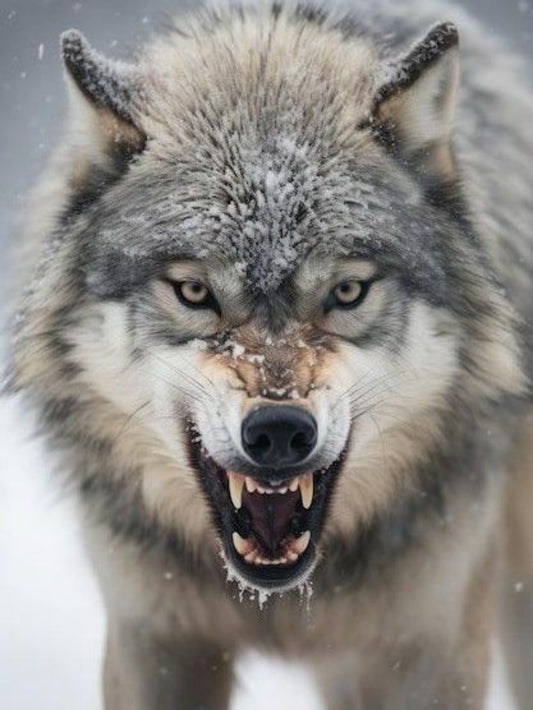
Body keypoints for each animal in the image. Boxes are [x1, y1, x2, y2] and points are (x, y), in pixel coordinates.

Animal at [7, 0, 533, 707]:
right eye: (195, 292)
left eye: (347, 292)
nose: (280, 430)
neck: (280, 603)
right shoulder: (154, 638)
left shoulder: (433, 643)